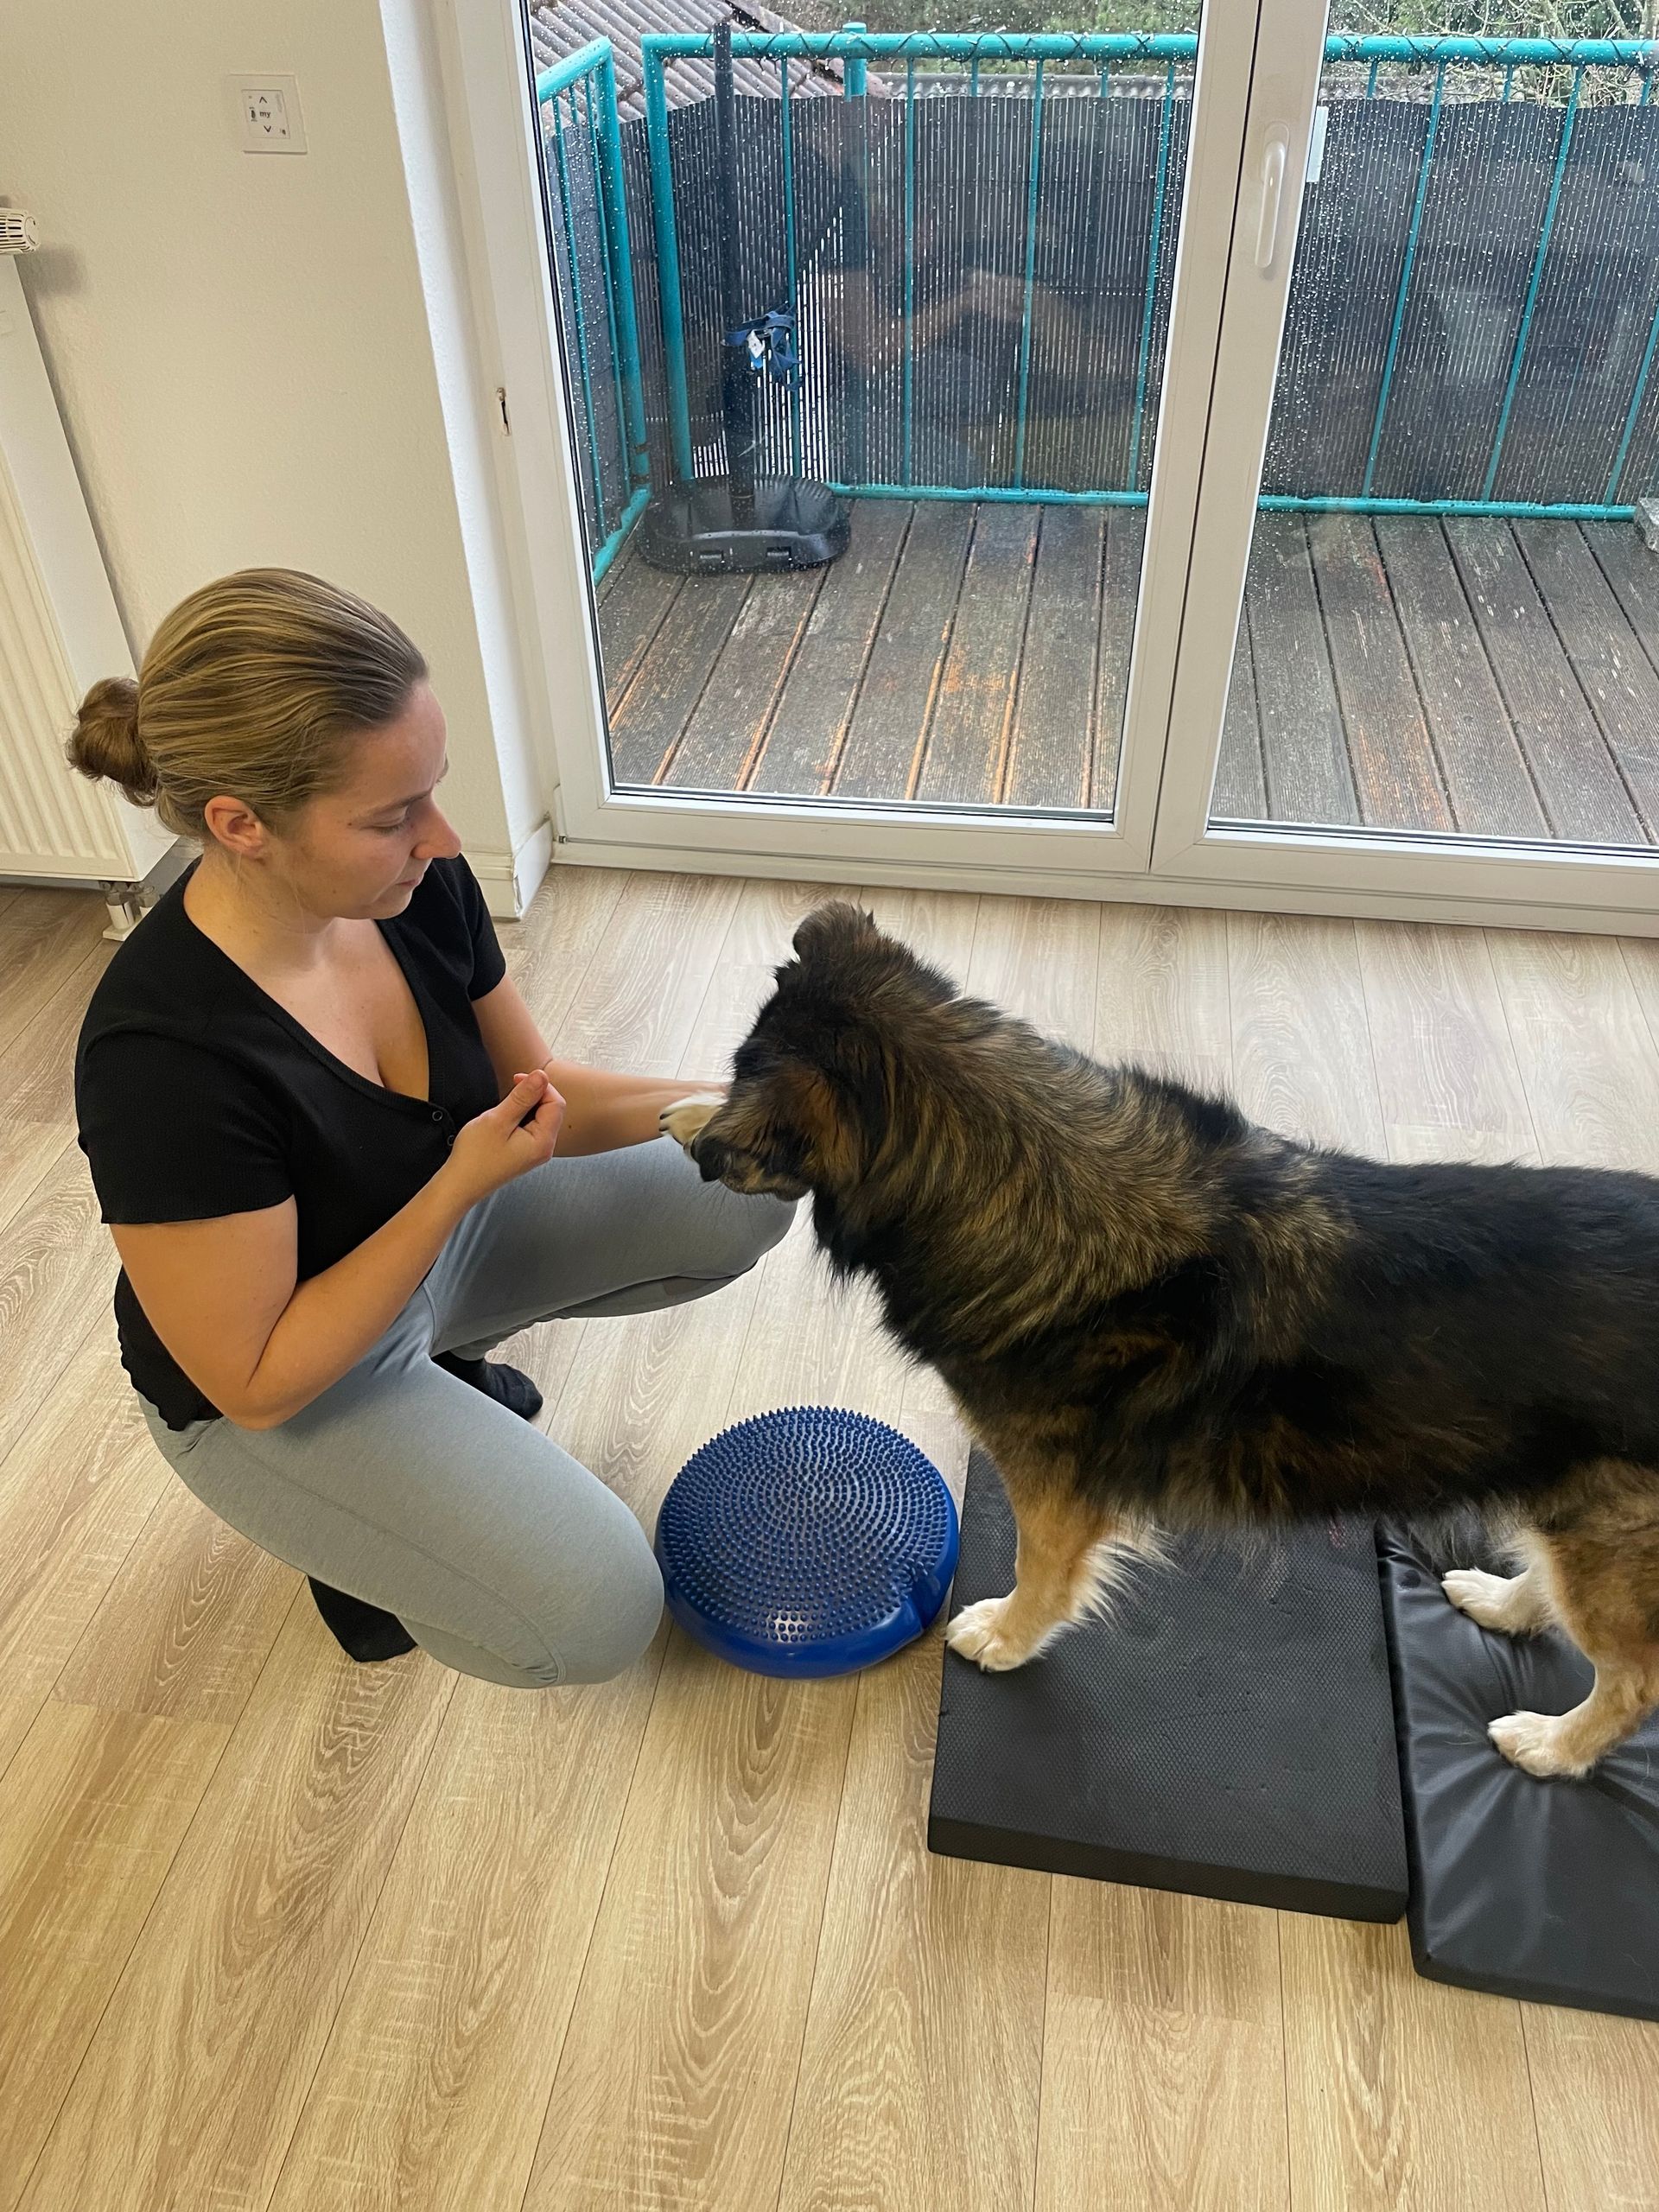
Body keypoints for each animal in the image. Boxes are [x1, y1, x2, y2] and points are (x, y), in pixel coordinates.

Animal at [662, 904, 1659, 1780]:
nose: (710, 1154)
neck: (1012, 1167)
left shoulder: (1056, 1485)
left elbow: (1040, 1571)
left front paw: (1006, 1635)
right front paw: (677, 1112)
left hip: (1611, 1536)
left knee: (1635, 1679)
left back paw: (1553, 1746)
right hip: (1574, 1514)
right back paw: (1504, 1599)